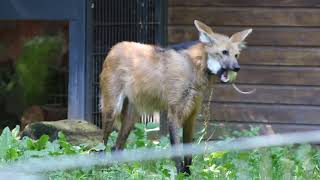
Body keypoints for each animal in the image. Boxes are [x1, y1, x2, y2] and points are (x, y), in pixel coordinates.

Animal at [100, 20, 252, 174]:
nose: (237, 68)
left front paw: (188, 174)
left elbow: (188, 154)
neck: (193, 69)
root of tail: (114, 47)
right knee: (101, 145)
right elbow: (178, 152)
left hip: (132, 116)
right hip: (113, 109)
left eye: (236, 55)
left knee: (116, 147)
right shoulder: (174, 113)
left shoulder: (191, 115)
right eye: (224, 52)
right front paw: (180, 174)